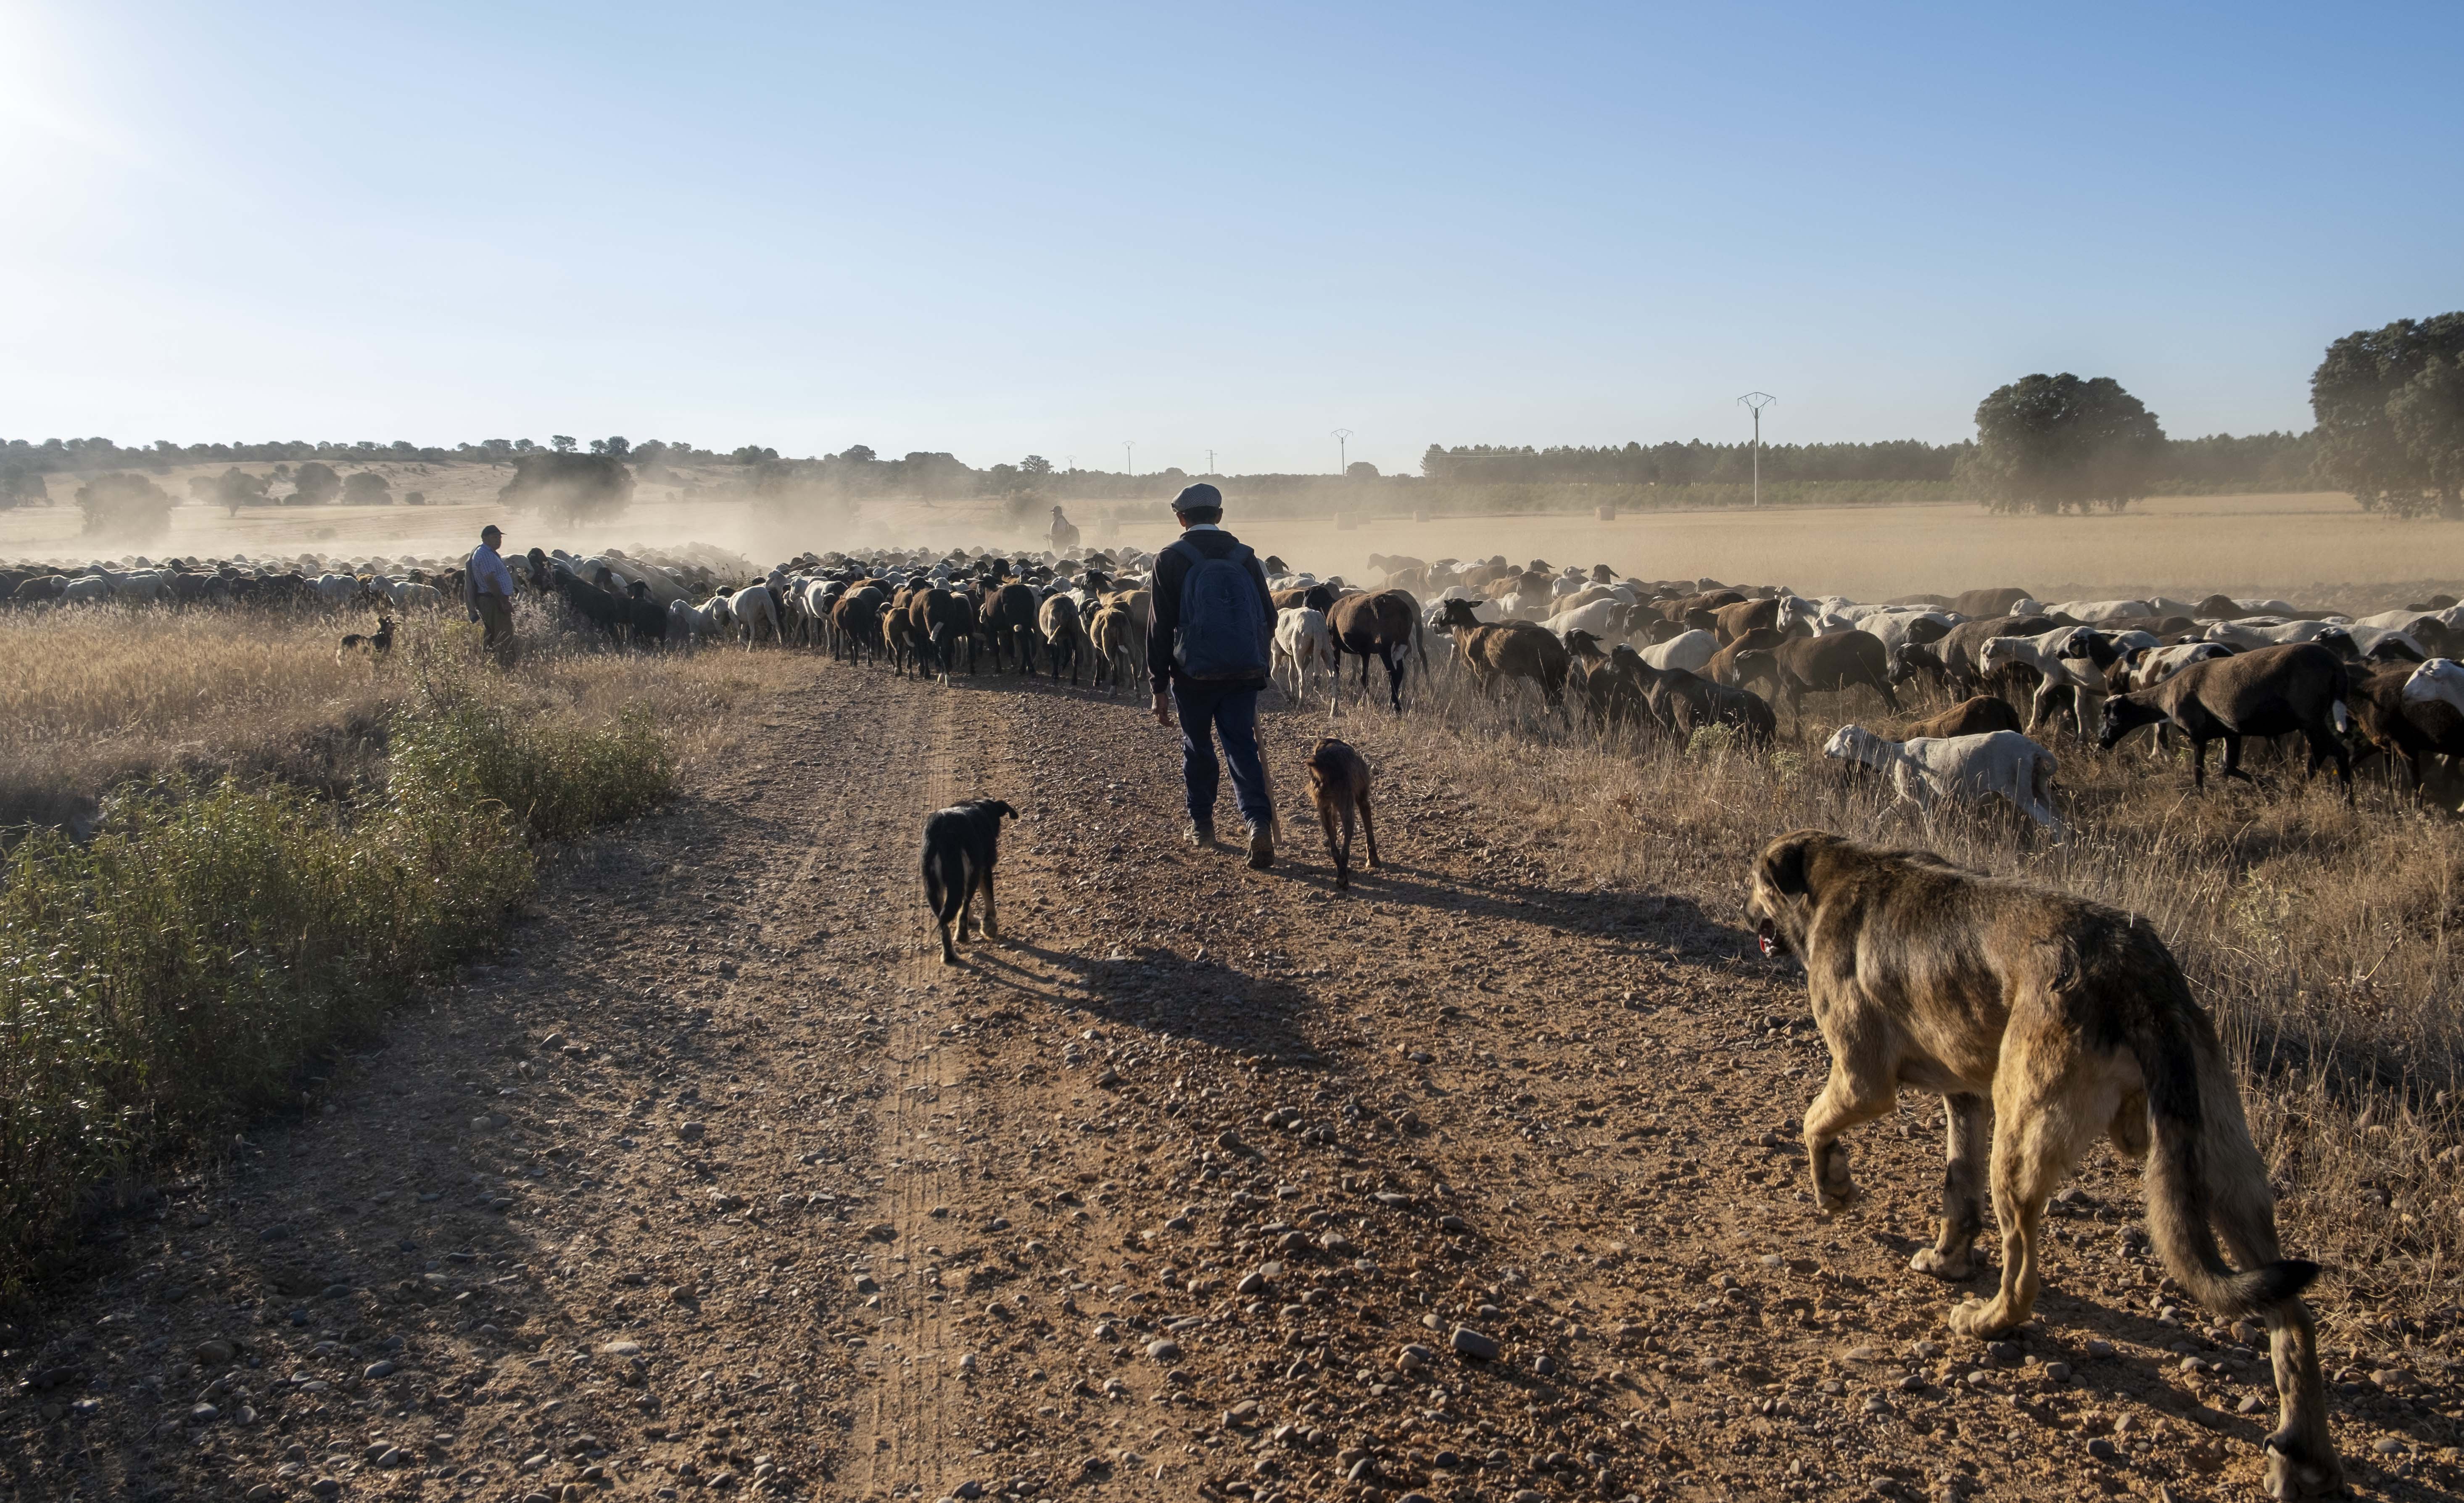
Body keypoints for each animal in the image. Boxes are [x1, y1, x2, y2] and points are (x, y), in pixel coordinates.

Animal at [921, 798, 1015, 961]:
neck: (979, 806)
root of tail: (944, 830)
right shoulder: (984, 869)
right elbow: (989, 901)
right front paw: (989, 927)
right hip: (972, 873)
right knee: (964, 908)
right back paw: (962, 936)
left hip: (933, 887)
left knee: (944, 924)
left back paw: (949, 955)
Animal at [1744, 823, 2336, 1488]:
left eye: (1753, 883)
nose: (1743, 915)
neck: (1832, 871)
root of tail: (2139, 967)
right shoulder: (1966, 1097)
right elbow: (1956, 1192)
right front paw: (1948, 1258)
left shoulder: (1861, 1082)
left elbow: (1811, 1124)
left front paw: (1835, 1189)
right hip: (2227, 1180)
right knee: (2292, 1315)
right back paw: (2301, 1454)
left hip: (2020, 1143)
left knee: (2024, 1271)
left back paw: (1985, 1320)